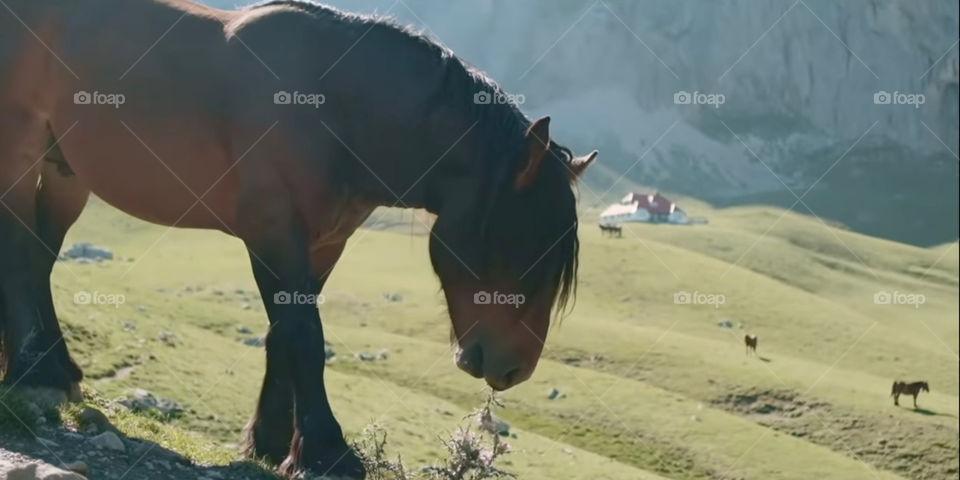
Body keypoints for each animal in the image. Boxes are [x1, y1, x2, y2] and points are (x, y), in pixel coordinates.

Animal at [0, 1, 597, 477]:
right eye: (524, 243)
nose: (514, 368)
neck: (332, 108)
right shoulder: (272, 231)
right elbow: (304, 334)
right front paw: (326, 452)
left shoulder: (323, 242)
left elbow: (282, 331)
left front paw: (269, 442)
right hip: (21, 148)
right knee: (20, 253)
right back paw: (35, 375)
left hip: (64, 171)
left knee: (39, 259)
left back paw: (51, 368)